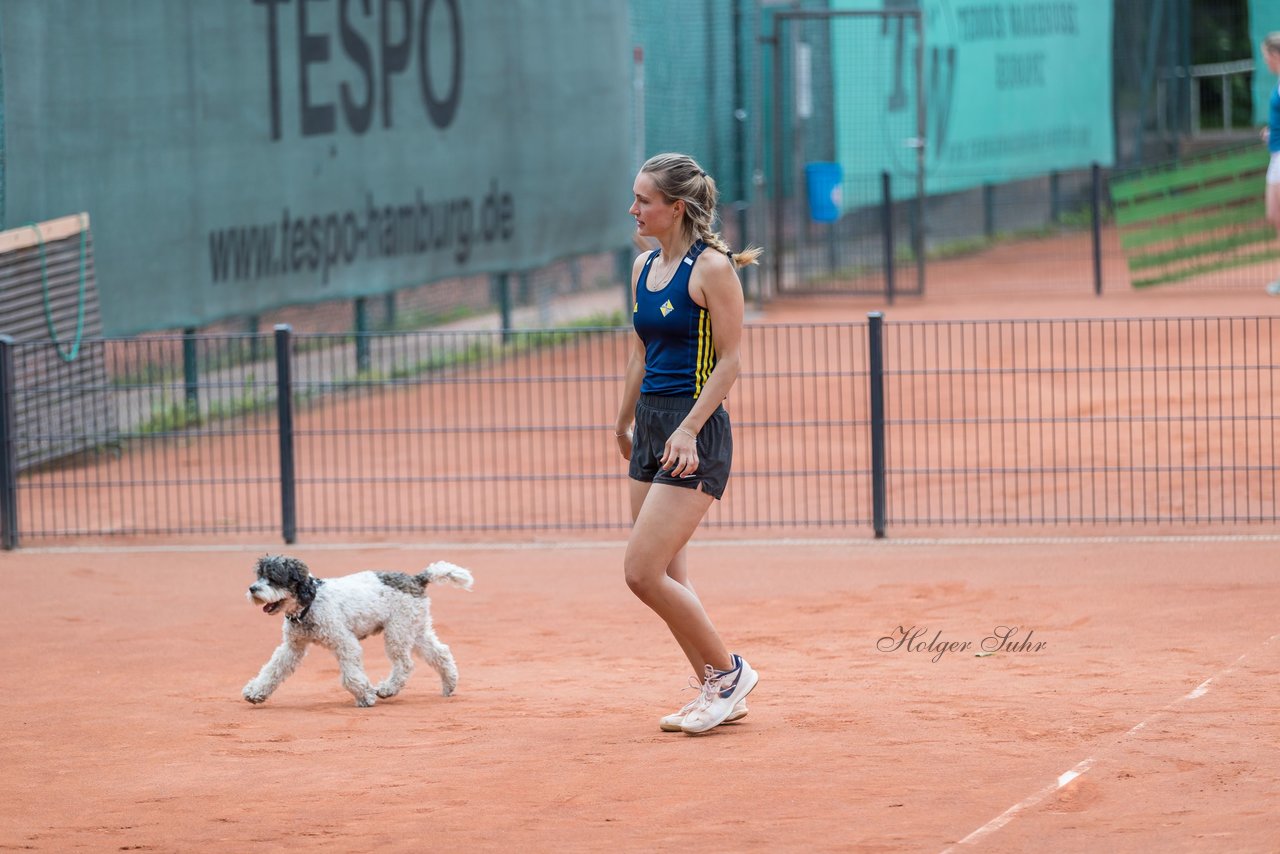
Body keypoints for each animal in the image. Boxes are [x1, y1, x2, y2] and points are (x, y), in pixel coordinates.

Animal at [240, 555, 471, 706]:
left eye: (274, 578)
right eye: (259, 575)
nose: (252, 589)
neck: (311, 602)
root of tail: (417, 578)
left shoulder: (344, 642)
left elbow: (351, 675)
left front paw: (365, 696)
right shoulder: (292, 647)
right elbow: (273, 669)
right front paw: (256, 692)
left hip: (397, 632)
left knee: (405, 665)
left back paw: (387, 689)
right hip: (415, 630)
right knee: (440, 653)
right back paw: (449, 684)